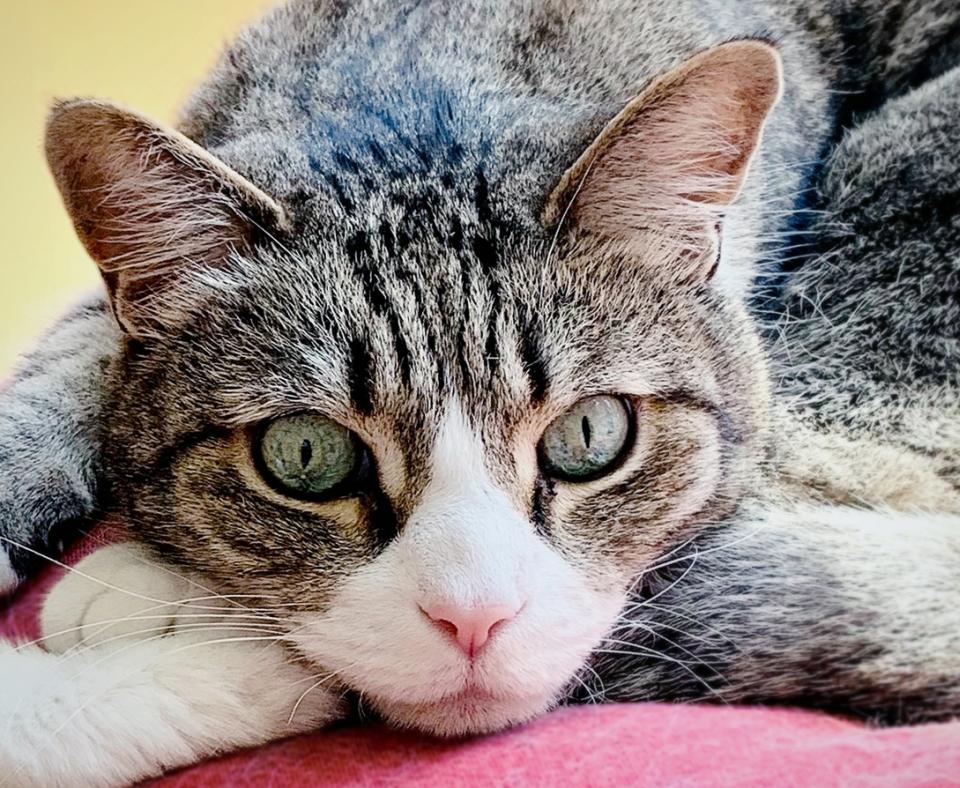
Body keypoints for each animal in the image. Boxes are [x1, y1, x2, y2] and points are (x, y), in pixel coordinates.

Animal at [1, 0, 960, 784]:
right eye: (305, 454)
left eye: (591, 436)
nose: (474, 620)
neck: (420, 82)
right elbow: (70, 340)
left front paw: (168, 609)